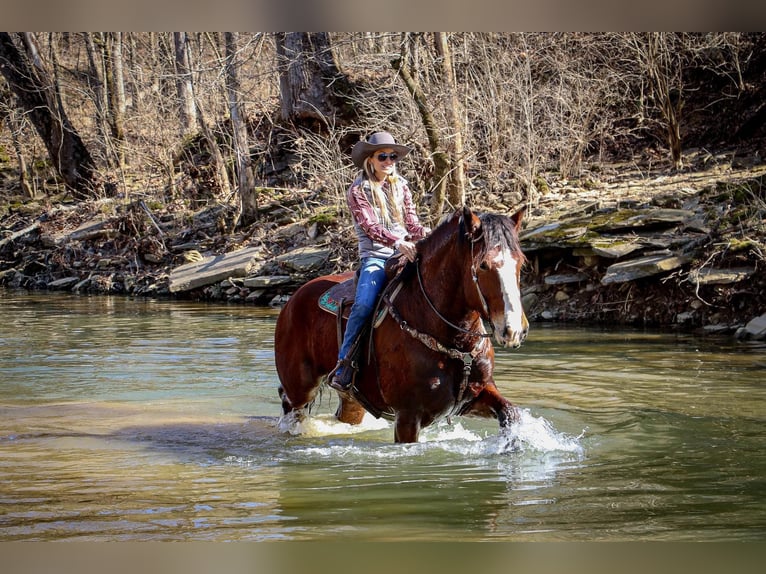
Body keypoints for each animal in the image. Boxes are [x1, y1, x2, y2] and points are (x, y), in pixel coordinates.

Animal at [272, 207, 532, 446]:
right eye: (484, 265)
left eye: (520, 263)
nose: (513, 330)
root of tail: (293, 299)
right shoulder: (408, 416)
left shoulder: (475, 396)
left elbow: (511, 413)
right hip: (299, 387)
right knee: (289, 404)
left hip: (351, 399)